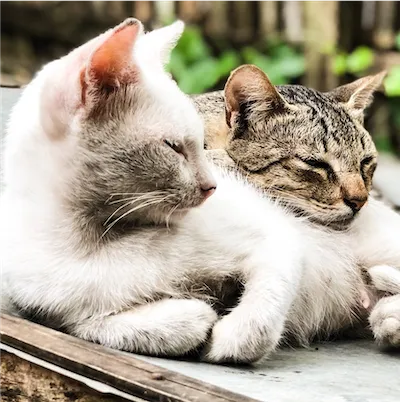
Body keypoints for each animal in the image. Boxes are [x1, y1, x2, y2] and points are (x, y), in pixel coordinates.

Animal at [0, 18, 400, 366]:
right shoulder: (62, 312)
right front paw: (193, 317)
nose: (360, 200)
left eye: (366, 163)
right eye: (316, 165)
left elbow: (261, 312)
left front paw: (230, 337)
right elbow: (108, 326)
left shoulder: (275, 237)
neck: (91, 241)